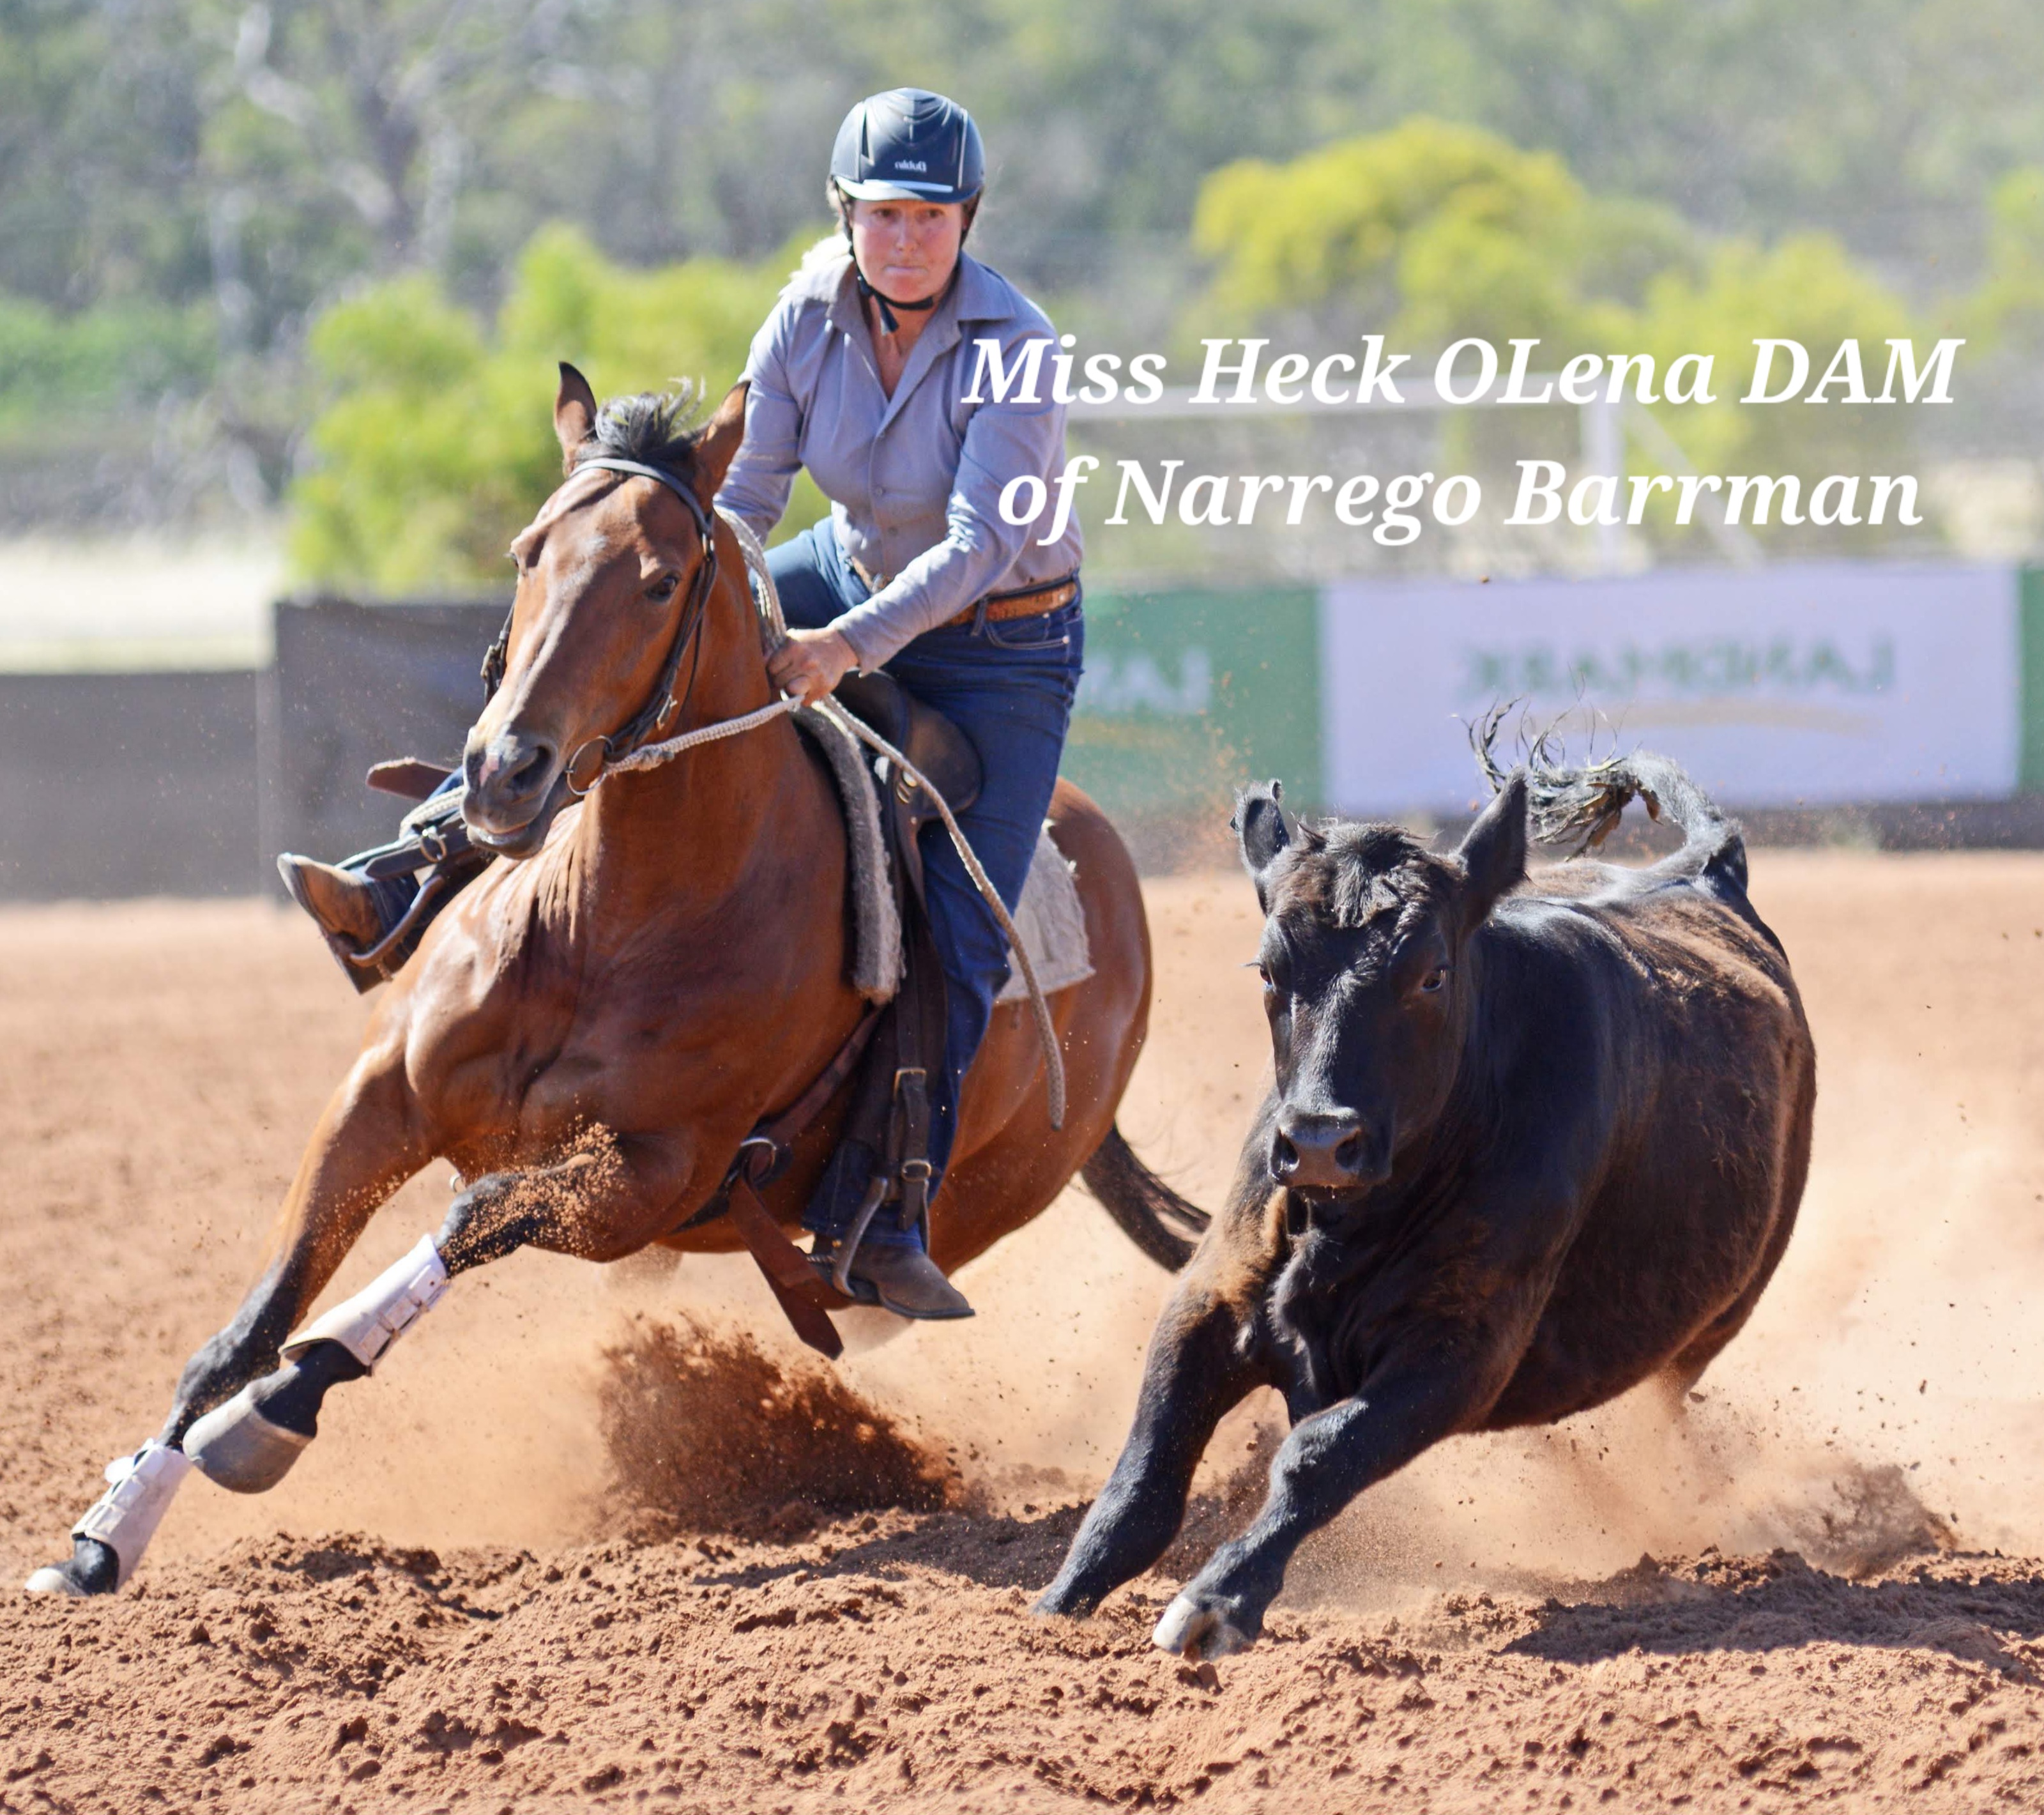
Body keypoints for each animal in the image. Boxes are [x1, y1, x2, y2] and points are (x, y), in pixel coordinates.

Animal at [27, 366, 1204, 1597]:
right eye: (526, 551)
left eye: (658, 580)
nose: (504, 771)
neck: (606, 928)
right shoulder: (380, 1098)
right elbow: (254, 1315)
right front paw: (110, 1527)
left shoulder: (645, 1177)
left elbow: (461, 1224)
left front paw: (267, 1419)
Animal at [1033, 749, 1816, 1658]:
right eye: (1269, 970)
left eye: (1431, 973)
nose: (1318, 1141)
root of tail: (1708, 871)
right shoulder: (1212, 1293)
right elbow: (1142, 1479)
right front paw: (1054, 1606)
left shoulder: (1460, 1348)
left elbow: (1317, 1455)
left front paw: (1216, 1600)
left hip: (1704, 1332)